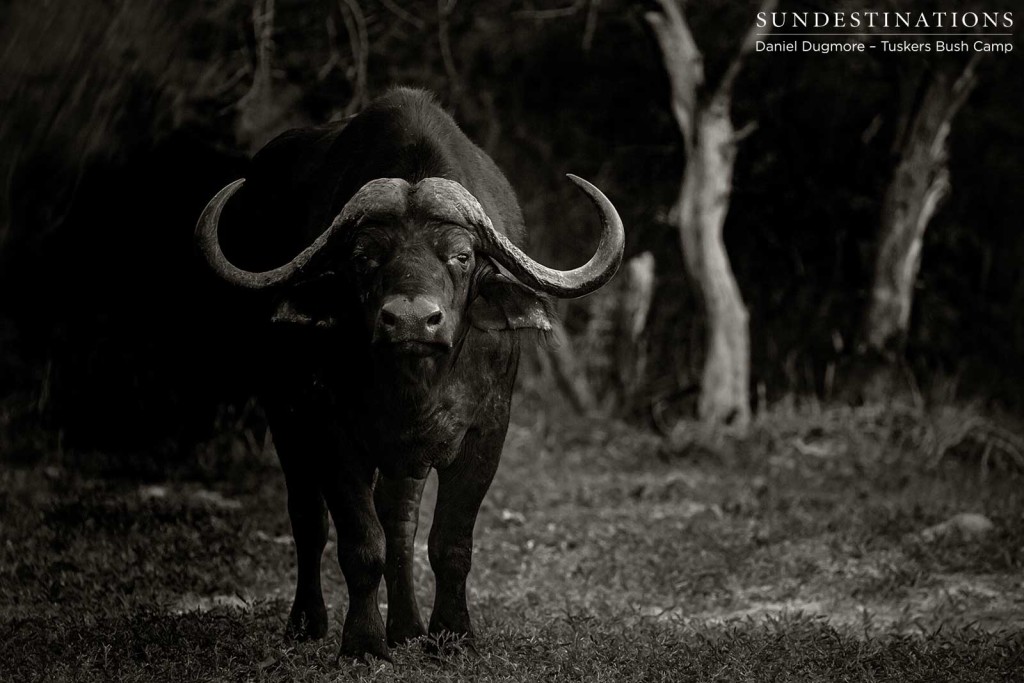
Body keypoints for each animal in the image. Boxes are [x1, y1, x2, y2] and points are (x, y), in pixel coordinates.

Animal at [193, 88, 622, 659]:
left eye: (460, 256)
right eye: (364, 258)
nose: (413, 320)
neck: (413, 385)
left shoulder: (487, 431)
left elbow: (449, 540)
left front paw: (452, 632)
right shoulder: (328, 426)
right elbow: (359, 542)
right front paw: (362, 641)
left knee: (399, 519)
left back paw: (409, 627)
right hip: (282, 410)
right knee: (308, 516)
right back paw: (309, 622)